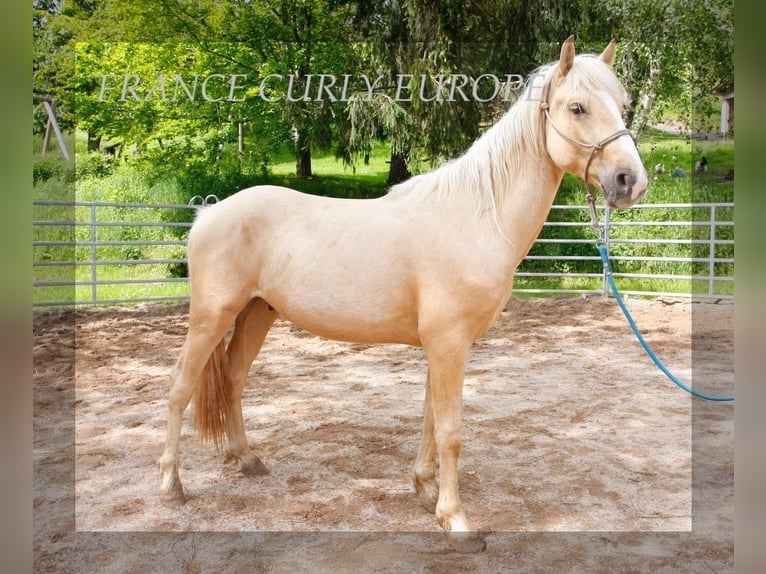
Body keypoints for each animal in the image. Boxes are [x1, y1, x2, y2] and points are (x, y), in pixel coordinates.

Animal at [159, 37, 652, 552]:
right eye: (577, 108)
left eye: (622, 106)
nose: (631, 181)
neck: (476, 217)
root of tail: (207, 215)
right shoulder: (449, 343)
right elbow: (451, 430)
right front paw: (456, 519)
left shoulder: (445, 346)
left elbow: (431, 419)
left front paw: (425, 490)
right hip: (212, 317)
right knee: (180, 386)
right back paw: (171, 484)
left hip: (256, 313)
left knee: (233, 381)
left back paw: (247, 460)